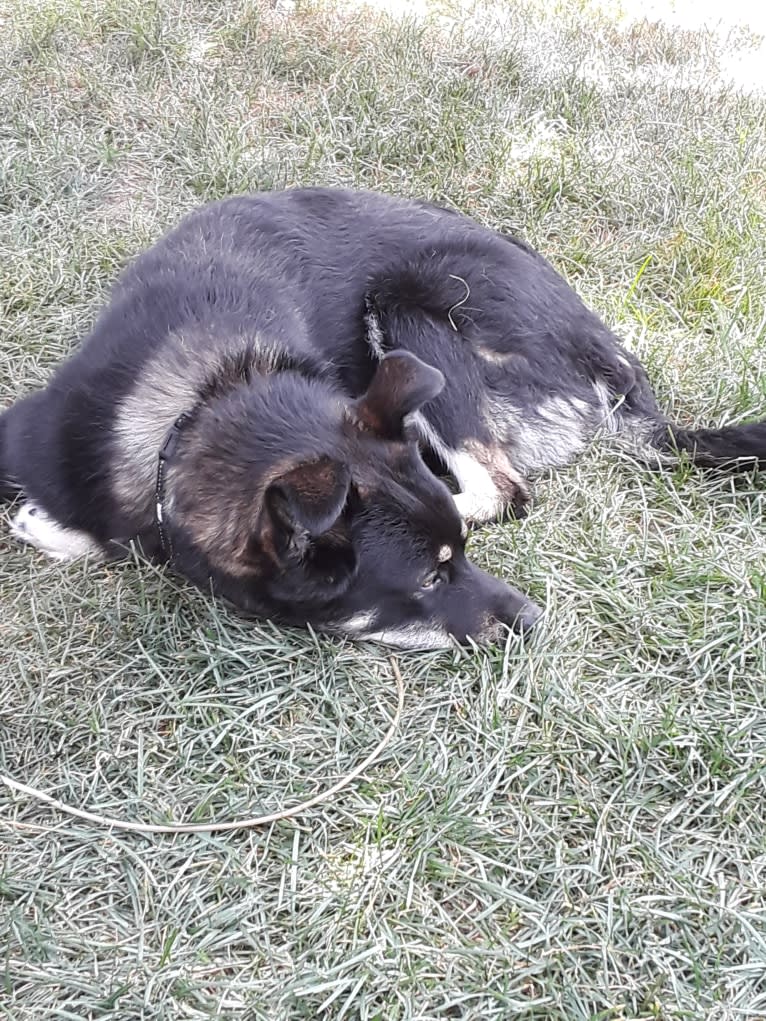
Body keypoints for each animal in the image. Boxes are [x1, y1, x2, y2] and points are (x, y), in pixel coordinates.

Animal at [3, 187, 763, 645]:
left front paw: (58, 530)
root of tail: (617, 369)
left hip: (407, 304)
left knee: (501, 487)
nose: (534, 621)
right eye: (427, 580)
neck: (207, 398)